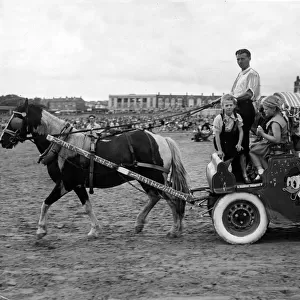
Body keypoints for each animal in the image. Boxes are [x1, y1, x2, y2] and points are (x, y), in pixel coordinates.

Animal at [1, 101, 190, 239]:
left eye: (15, 118)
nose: (3, 140)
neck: (63, 144)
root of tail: (161, 139)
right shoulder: (68, 184)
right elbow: (61, 204)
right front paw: (95, 229)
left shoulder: (70, 183)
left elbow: (61, 204)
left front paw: (41, 229)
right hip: (144, 177)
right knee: (155, 197)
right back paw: (140, 224)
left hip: (155, 177)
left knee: (173, 199)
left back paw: (175, 229)